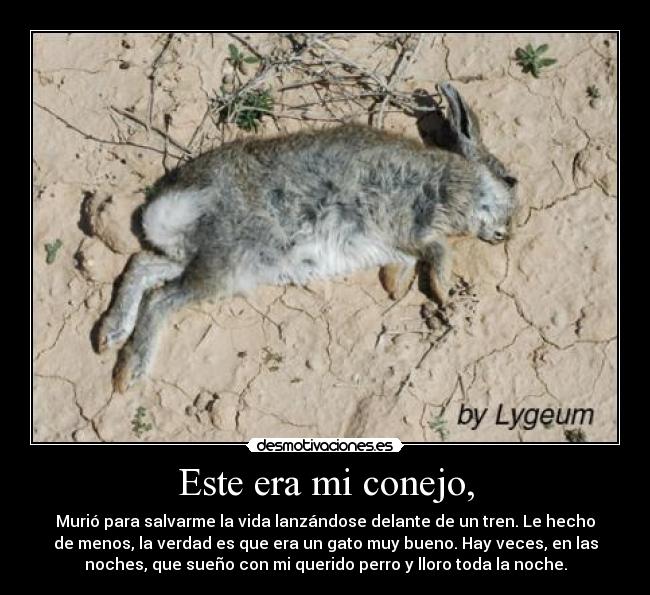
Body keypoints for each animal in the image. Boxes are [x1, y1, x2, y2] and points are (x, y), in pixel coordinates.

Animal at [96, 82, 518, 393]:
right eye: (510, 180)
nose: (506, 233)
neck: (462, 179)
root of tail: (173, 204)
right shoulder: (412, 222)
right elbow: (437, 249)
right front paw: (445, 293)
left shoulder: (400, 242)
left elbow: (407, 260)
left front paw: (395, 286)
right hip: (222, 266)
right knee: (159, 300)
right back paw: (128, 373)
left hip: (197, 257)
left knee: (142, 265)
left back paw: (109, 334)